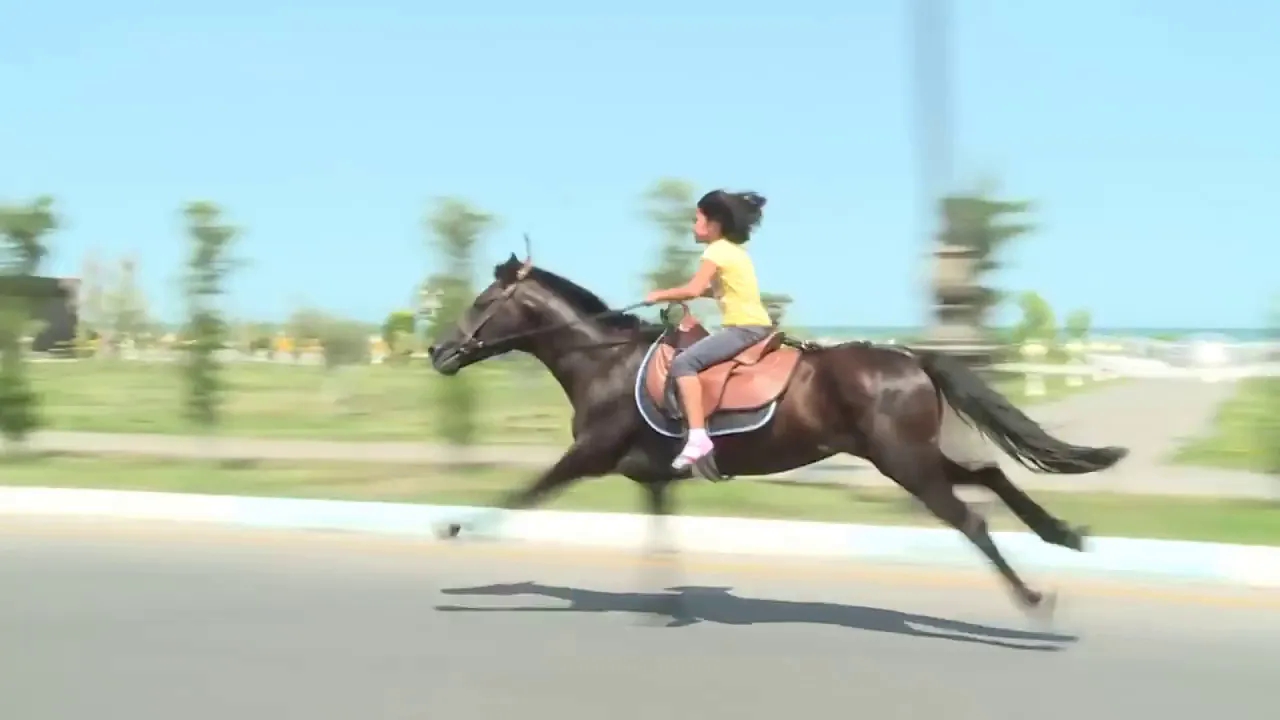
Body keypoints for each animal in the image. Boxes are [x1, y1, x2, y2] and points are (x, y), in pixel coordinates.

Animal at [430, 253, 1131, 609]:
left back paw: (1033, 596)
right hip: (907, 453)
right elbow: (661, 538)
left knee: (972, 519)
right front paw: (668, 601)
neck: (604, 361)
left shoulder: (588, 456)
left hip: (905, 462)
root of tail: (911, 357)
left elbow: (523, 494)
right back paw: (1065, 535)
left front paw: (457, 529)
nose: (438, 351)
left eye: (481, 304)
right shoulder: (652, 476)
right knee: (988, 472)